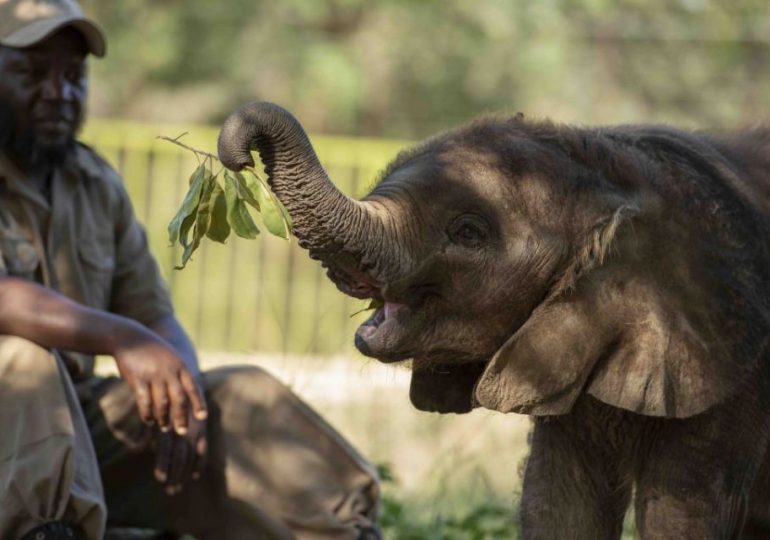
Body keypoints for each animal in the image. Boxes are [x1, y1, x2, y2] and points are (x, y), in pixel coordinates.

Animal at [217, 102, 770, 538]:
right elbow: (559, 503)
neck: (624, 171)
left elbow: (679, 513)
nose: (238, 153)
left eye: (468, 233)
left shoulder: (733, 380)